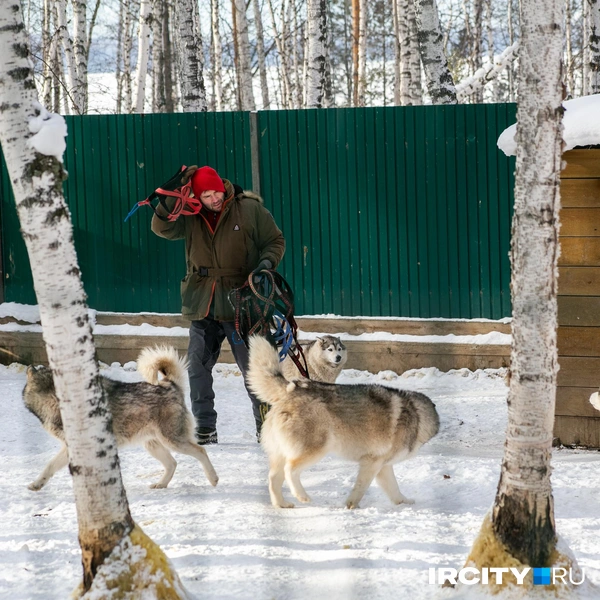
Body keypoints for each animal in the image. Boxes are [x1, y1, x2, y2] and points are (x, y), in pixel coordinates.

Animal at [25, 346, 220, 492]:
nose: (32, 366)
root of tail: (169, 384)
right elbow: (50, 466)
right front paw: (36, 484)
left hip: (172, 441)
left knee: (201, 451)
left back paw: (213, 479)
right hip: (152, 444)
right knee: (172, 463)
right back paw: (161, 484)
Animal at [246, 336, 438, 508]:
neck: (416, 415)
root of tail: (291, 388)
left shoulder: (383, 466)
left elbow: (394, 489)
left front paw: (404, 502)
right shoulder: (372, 463)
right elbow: (360, 489)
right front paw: (351, 505)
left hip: (282, 452)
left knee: (273, 479)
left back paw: (282, 504)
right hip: (316, 448)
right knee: (289, 470)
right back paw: (302, 496)